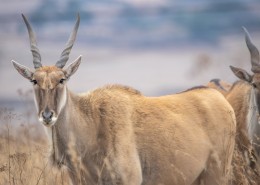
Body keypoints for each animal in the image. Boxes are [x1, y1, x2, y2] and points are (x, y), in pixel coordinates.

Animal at [11, 14, 236, 185]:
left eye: (61, 79)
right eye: (34, 80)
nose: (47, 115)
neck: (92, 122)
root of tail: (220, 99)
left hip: (216, 175)